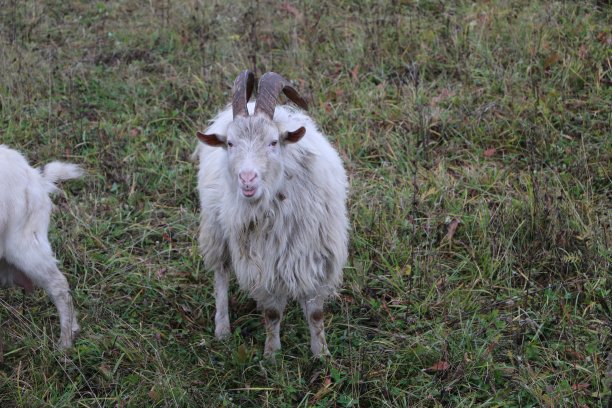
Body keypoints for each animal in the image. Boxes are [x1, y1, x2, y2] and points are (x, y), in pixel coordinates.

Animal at [196, 71, 350, 356]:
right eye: (230, 143)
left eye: (273, 142)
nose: (247, 179)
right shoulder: (262, 263)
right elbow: (272, 313)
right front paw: (272, 354)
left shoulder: (316, 258)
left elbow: (316, 314)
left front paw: (321, 354)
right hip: (215, 228)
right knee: (221, 274)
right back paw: (222, 329)